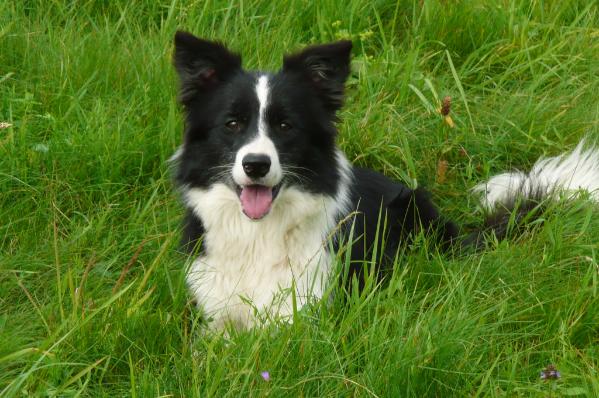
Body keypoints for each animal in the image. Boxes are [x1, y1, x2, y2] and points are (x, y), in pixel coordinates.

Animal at [170, 30, 599, 330]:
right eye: (232, 124)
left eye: (285, 126)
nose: (256, 165)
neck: (259, 233)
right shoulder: (215, 316)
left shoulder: (302, 314)